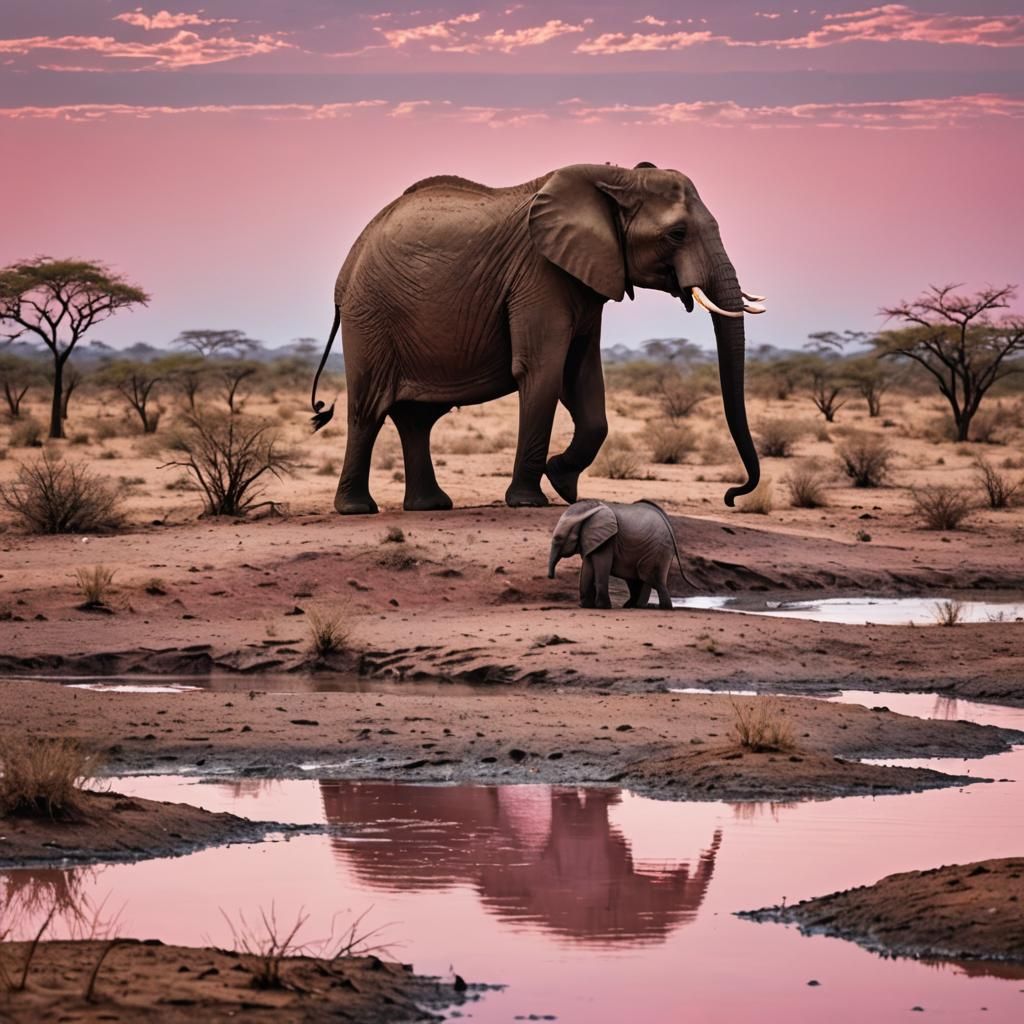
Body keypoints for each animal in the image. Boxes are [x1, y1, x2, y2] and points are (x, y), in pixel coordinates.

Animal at [309, 162, 764, 515]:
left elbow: (582, 378)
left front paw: (563, 482)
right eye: (677, 234)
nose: (731, 496)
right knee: (368, 411)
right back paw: (356, 509)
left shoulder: (586, 280)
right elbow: (542, 370)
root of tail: (345, 271)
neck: (616, 177)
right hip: (370, 315)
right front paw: (531, 500)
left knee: (416, 419)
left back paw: (430, 506)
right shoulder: (539, 275)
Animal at [548, 498, 695, 610]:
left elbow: (601, 566)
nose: (551, 576)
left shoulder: (608, 540)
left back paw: (660, 607)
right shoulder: (591, 539)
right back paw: (633, 606)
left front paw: (602, 607)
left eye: (559, 538)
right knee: (636, 579)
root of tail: (667, 522)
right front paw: (585, 606)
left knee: (651, 578)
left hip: (657, 548)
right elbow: (588, 567)